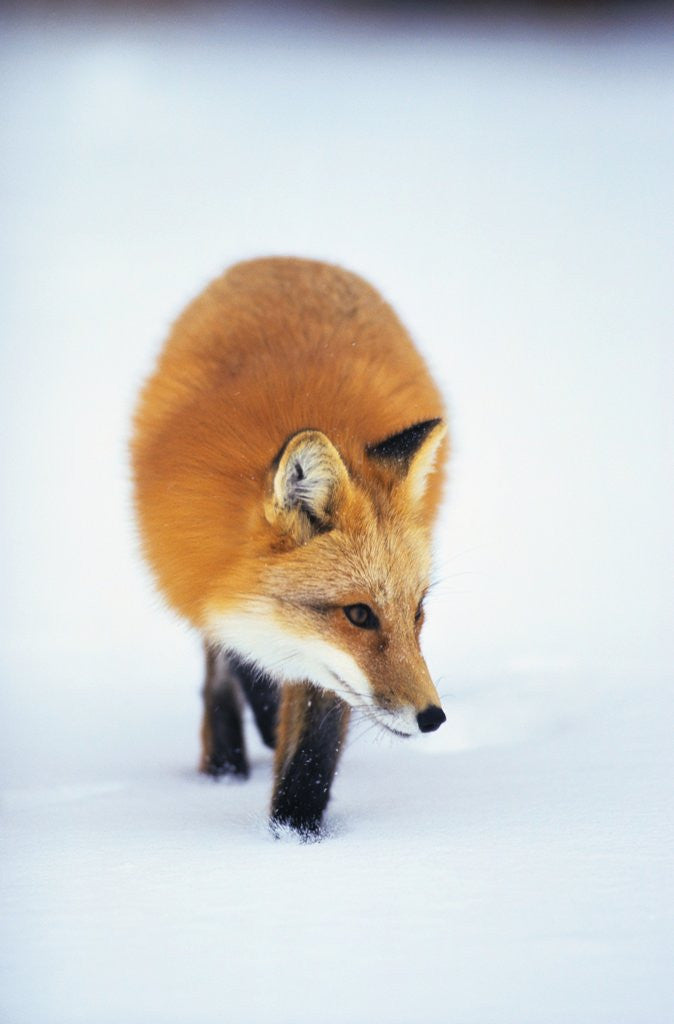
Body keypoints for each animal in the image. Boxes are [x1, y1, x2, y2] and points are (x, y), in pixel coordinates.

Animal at [131, 256, 448, 837]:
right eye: (359, 614)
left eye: (418, 613)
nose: (433, 718)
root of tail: (285, 259)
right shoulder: (204, 580)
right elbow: (236, 659)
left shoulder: (323, 668)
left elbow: (311, 755)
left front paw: (295, 838)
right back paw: (225, 764)